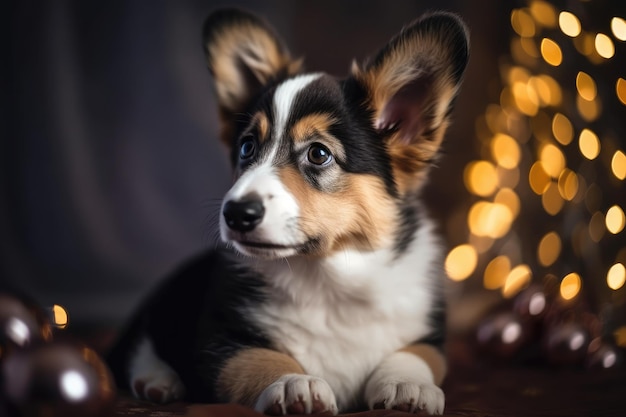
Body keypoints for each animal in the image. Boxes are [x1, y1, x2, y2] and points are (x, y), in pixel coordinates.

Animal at [107, 8, 468, 414]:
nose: (236, 214)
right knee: (135, 345)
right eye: (247, 147)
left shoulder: (429, 333)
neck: (328, 280)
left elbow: (415, 354)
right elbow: (261, 358)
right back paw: (157, 380)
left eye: (318, 153)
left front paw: (409, 387)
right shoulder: (224, 340)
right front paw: (295, 384)